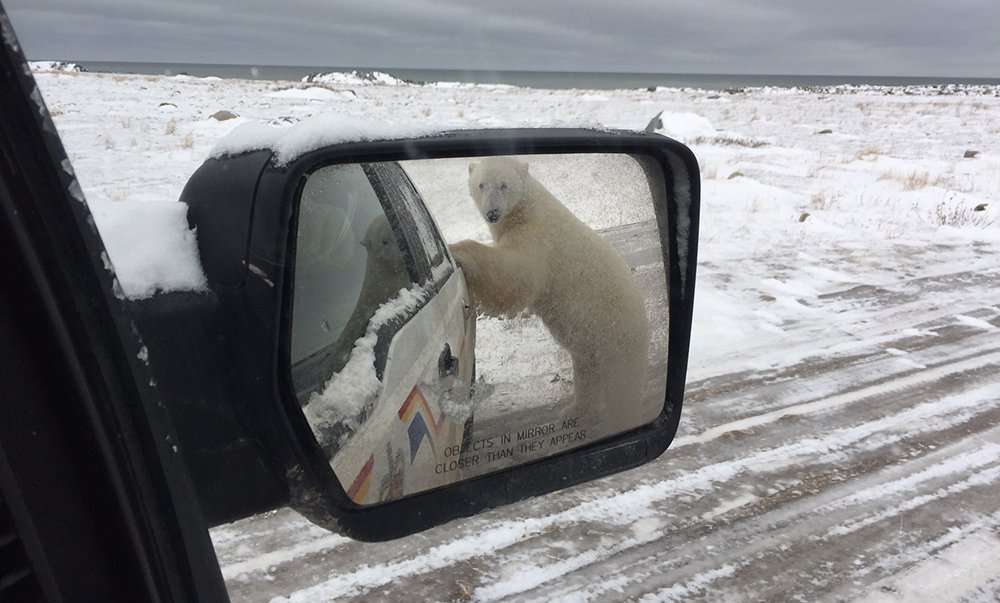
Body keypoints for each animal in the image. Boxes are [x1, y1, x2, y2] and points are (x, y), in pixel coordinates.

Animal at [449, 157, 649, 434]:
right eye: (481, 184)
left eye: (504, 184)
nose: (493, 213)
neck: (528, 208)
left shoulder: (541, 237)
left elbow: (516, 274)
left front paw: (458, 249)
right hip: (592, 339)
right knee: (587, 370)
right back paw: (575, 411)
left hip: (614, 328)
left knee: (620, 382)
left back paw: (618, 420)